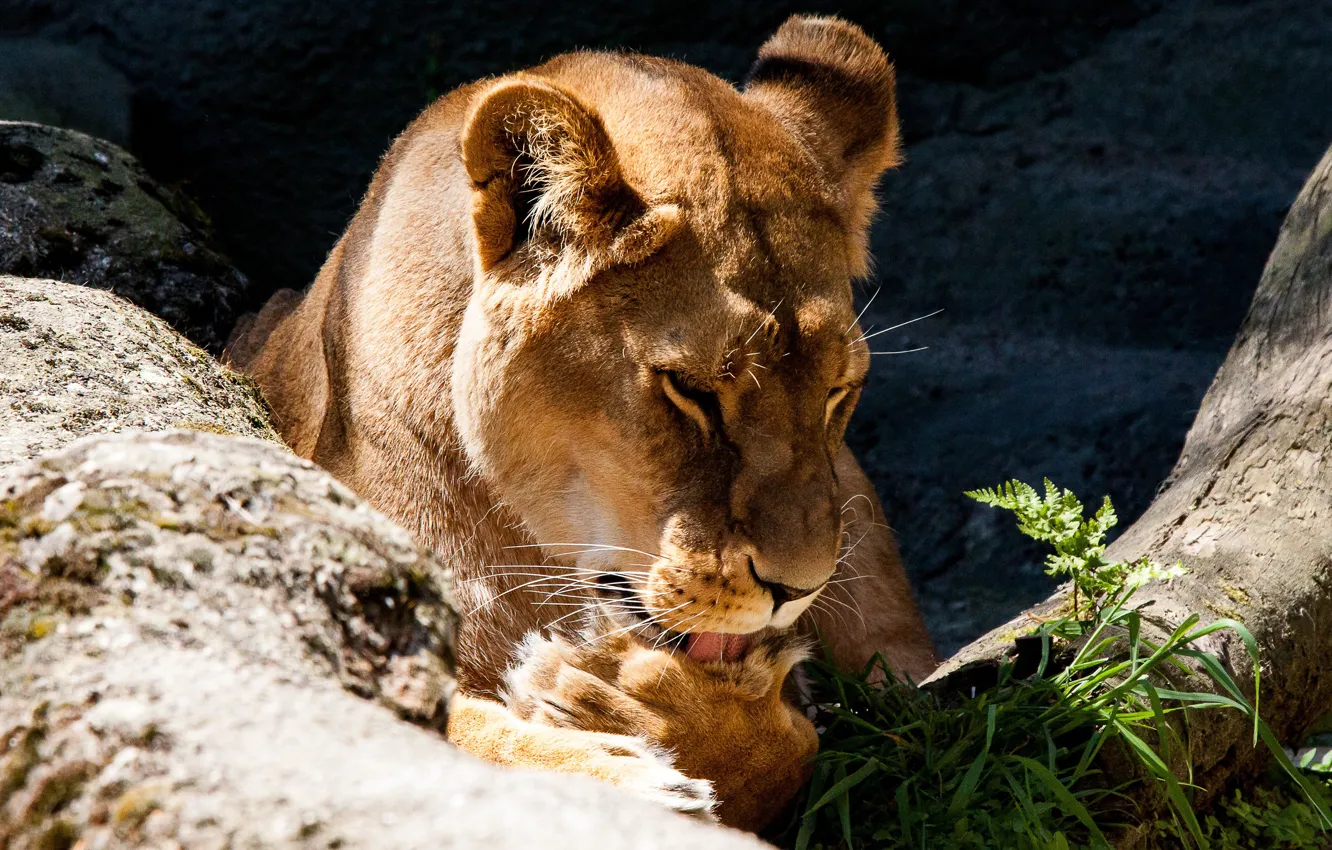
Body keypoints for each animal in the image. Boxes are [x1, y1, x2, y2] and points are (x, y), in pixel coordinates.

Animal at [227, 14, 936, 831]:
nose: (797, 588)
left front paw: (636, 707)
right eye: (690, 390)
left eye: (837, 390)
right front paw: (622, 756)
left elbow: (801, 749)